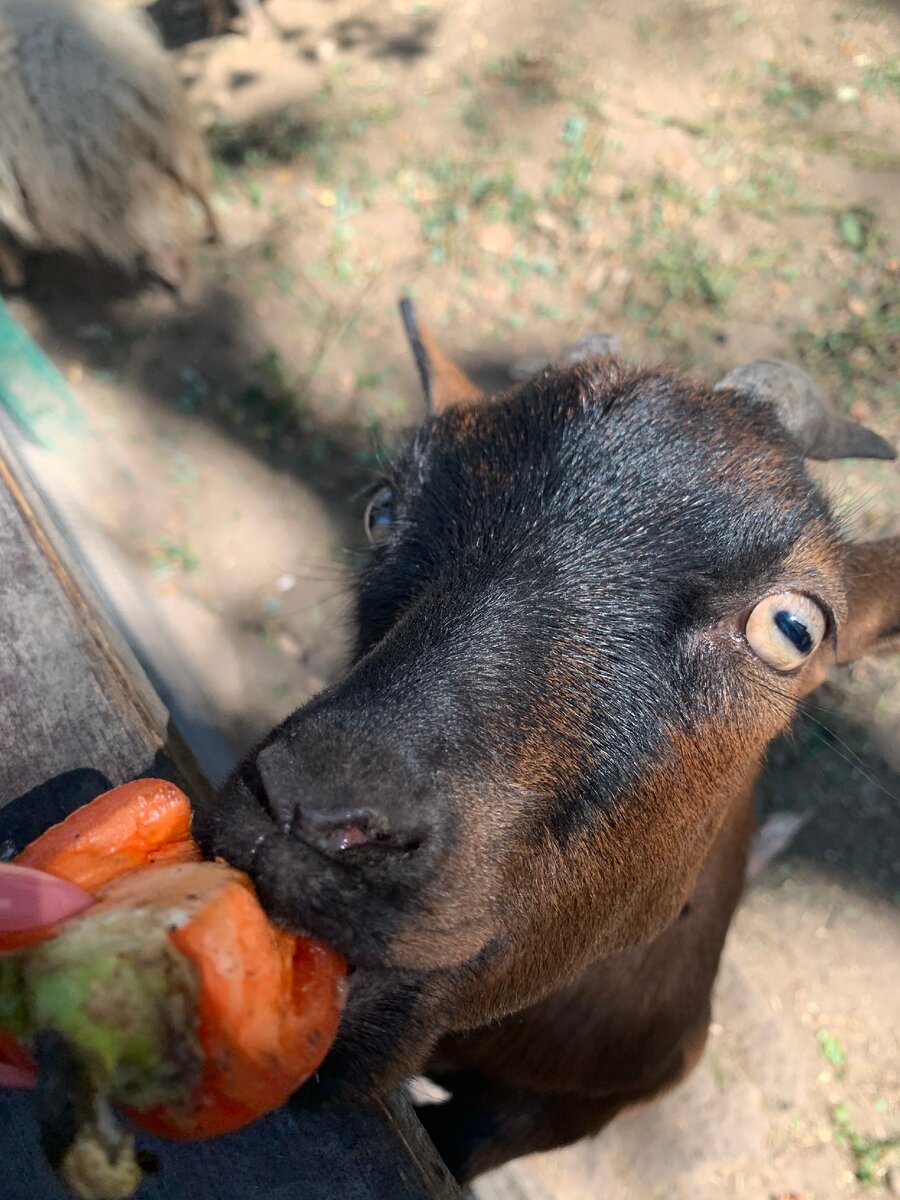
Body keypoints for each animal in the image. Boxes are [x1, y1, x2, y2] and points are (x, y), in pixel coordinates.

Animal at [0, 0, 218, 294]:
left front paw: (14, 275)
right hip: (171, 138)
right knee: (198, 188)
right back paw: (214, 234)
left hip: (103, 175)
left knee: (166, 228)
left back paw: (186, 286)